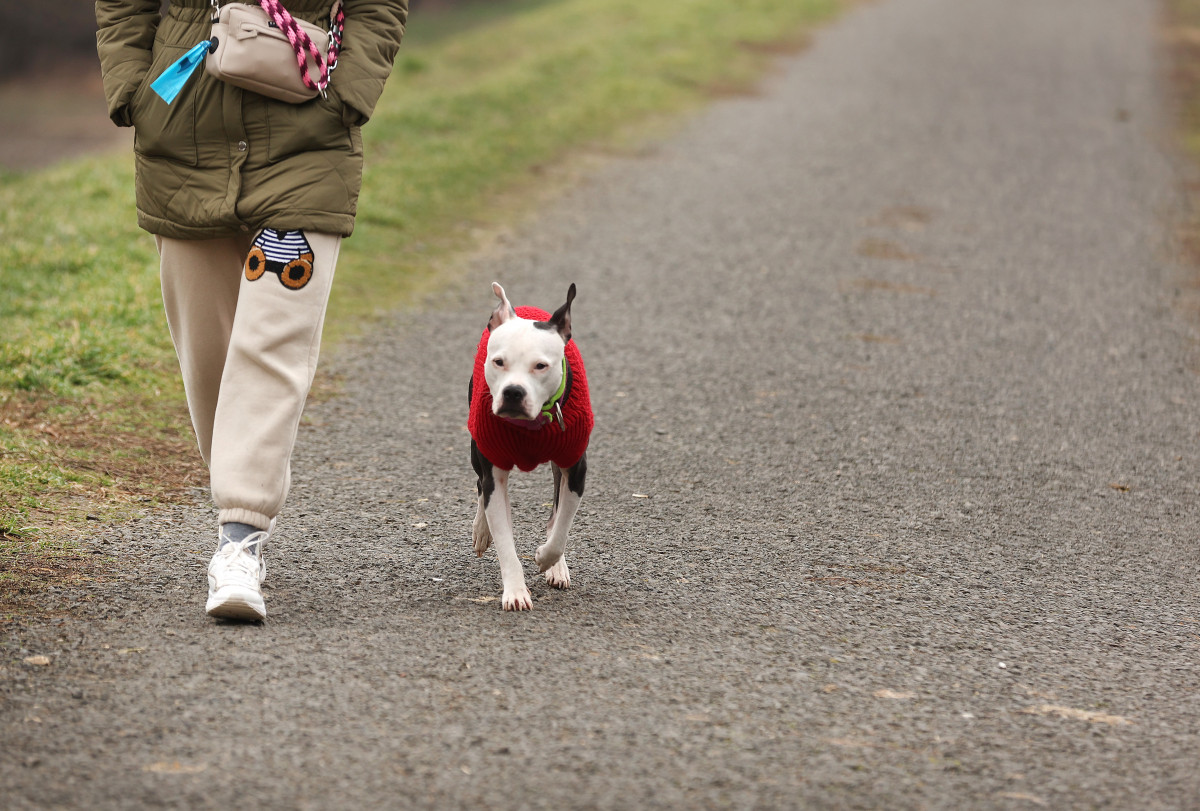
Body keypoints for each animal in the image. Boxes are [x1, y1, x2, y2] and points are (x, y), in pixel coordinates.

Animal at [465, 283, 592, 609]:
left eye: (540, 366)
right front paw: (515, 591)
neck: (530, 427)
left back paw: (556, 567)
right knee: (480, 484)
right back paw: (481, 530)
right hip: (476, 449)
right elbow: (504, 539)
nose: (513, 392)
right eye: (499, 361)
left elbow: (560, 528)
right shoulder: (494, 470)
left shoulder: (575, 469)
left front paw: (547, 559)